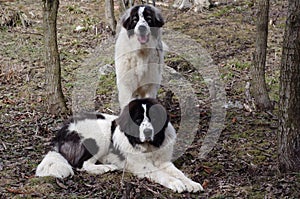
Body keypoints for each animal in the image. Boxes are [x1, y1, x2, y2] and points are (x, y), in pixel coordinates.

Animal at [35, 98, 204, 194]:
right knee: (83, 165)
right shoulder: (142, 166)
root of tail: (61, 132)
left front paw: (191, 183)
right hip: (101, 135)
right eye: (138, 120)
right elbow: (163, 174)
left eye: (153, 118)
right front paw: (176, 183)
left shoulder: (164, 161)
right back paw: (106, 167)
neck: (149, 146)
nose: (148, 131)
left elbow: (179, 173)